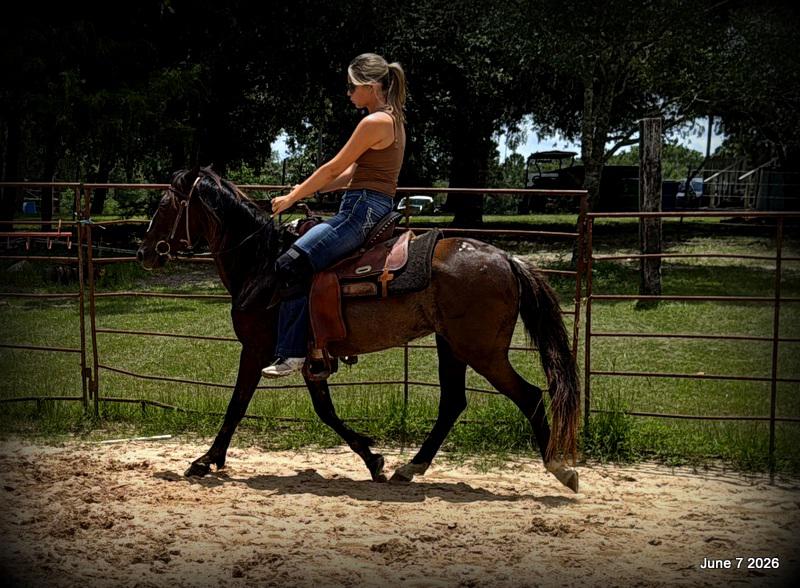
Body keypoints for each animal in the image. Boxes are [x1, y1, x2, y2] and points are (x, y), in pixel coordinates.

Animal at [136, 167, 581, 492]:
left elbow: (237, 404)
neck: (261, 264)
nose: (144, 252)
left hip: (481, 351)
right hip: (451, 346)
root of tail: (507, 258)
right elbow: (325, 411)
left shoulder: (258, 349)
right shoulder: (308, 356)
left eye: (165, 205)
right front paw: (374, 459)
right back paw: (410, 468)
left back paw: (560, 468)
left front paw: (205, 460)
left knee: (529, 395)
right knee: (453, 403)